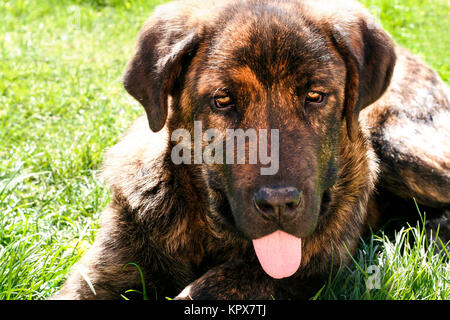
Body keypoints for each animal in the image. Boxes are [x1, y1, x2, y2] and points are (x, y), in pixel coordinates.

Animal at [50, 0, 450, 300]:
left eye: (315, 96)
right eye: (223, 100)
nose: (279, 204)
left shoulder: (298, 270)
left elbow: (212, 286)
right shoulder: (102, 272)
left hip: (399, 144)